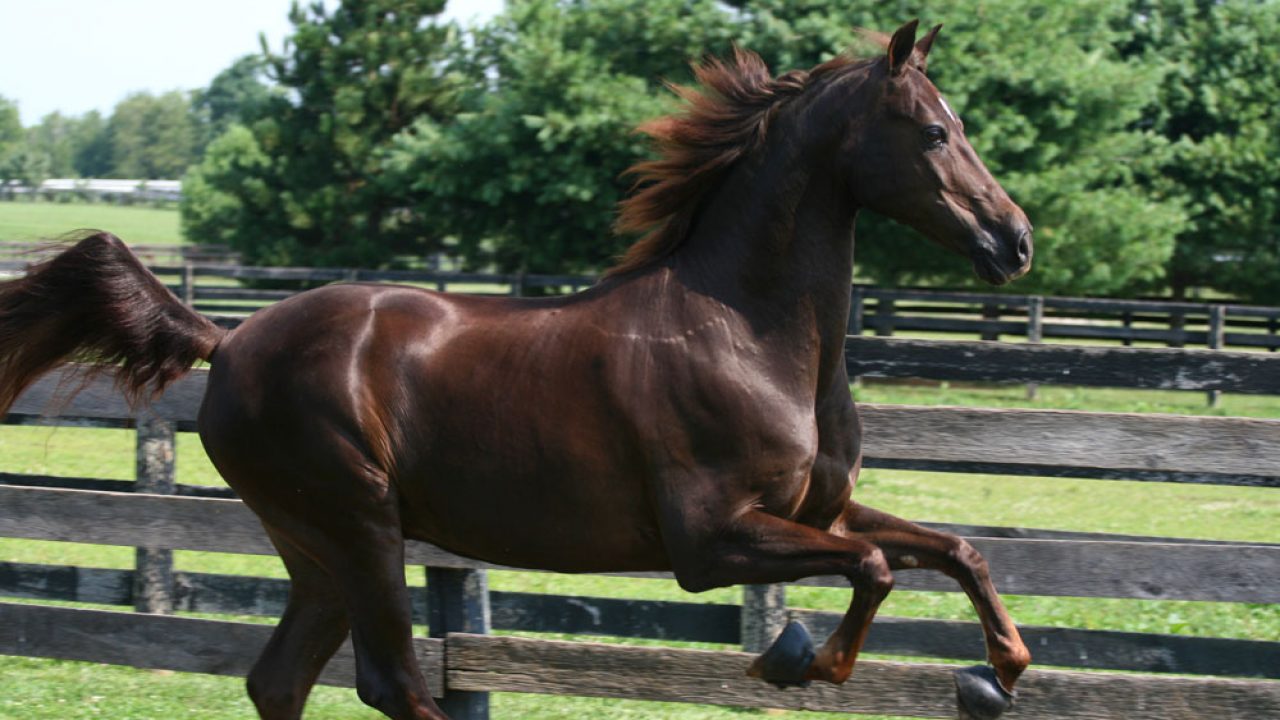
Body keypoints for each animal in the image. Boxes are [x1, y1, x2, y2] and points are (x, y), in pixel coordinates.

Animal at [0, 20, 1032, 720]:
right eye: (934, 133)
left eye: (959, 124)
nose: (1013, 241)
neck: (748, 334)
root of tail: (231, 340)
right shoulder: (711, 541)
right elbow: (876, 567)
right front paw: (797, 658)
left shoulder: (817, 510)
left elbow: (954, 548)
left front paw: (1004, 668)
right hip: (360, 524)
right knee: (392, 683)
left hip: (316, 549)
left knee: (280, 679)